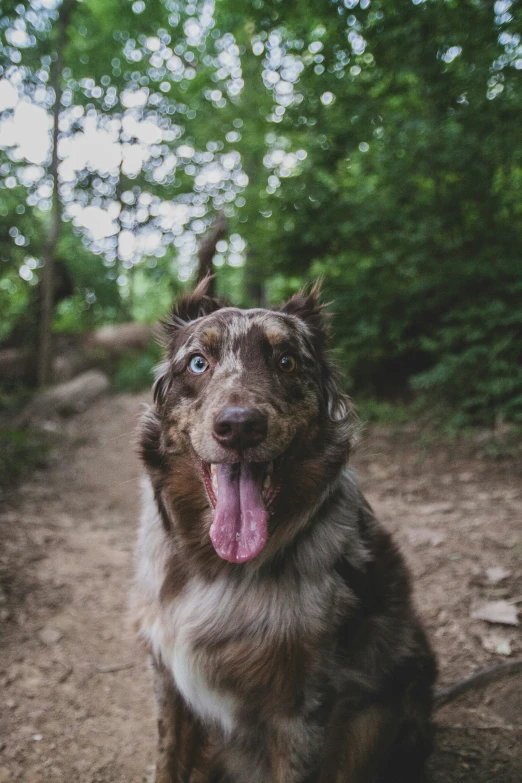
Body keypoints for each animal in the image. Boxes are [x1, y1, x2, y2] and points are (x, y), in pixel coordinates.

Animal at [130, 282, 434, 783]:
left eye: (287, 361)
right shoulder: (167, 680)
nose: (239, 426)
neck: (218, 569)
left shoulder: (301, 709)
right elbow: (167, 762)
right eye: (198, 363)